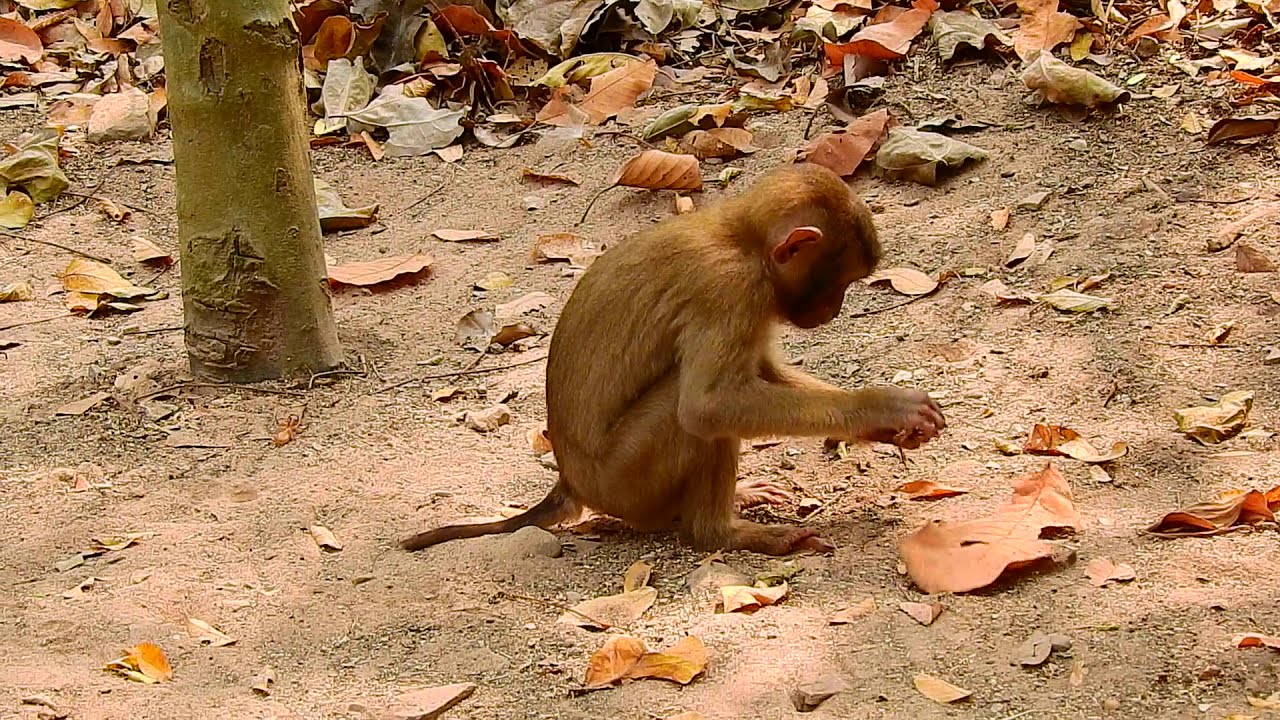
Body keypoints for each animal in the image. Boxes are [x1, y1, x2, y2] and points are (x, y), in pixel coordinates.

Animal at [402, 163, 945, 556]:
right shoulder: (730, 288)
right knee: (695, 419)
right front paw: (880, 409)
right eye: (840, 282)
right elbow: (708, 406)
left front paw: (883, 426)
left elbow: (759, 373)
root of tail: (571, 480)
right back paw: (719, 534)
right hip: (626, 482)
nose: (834, 309)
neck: (740, 238)